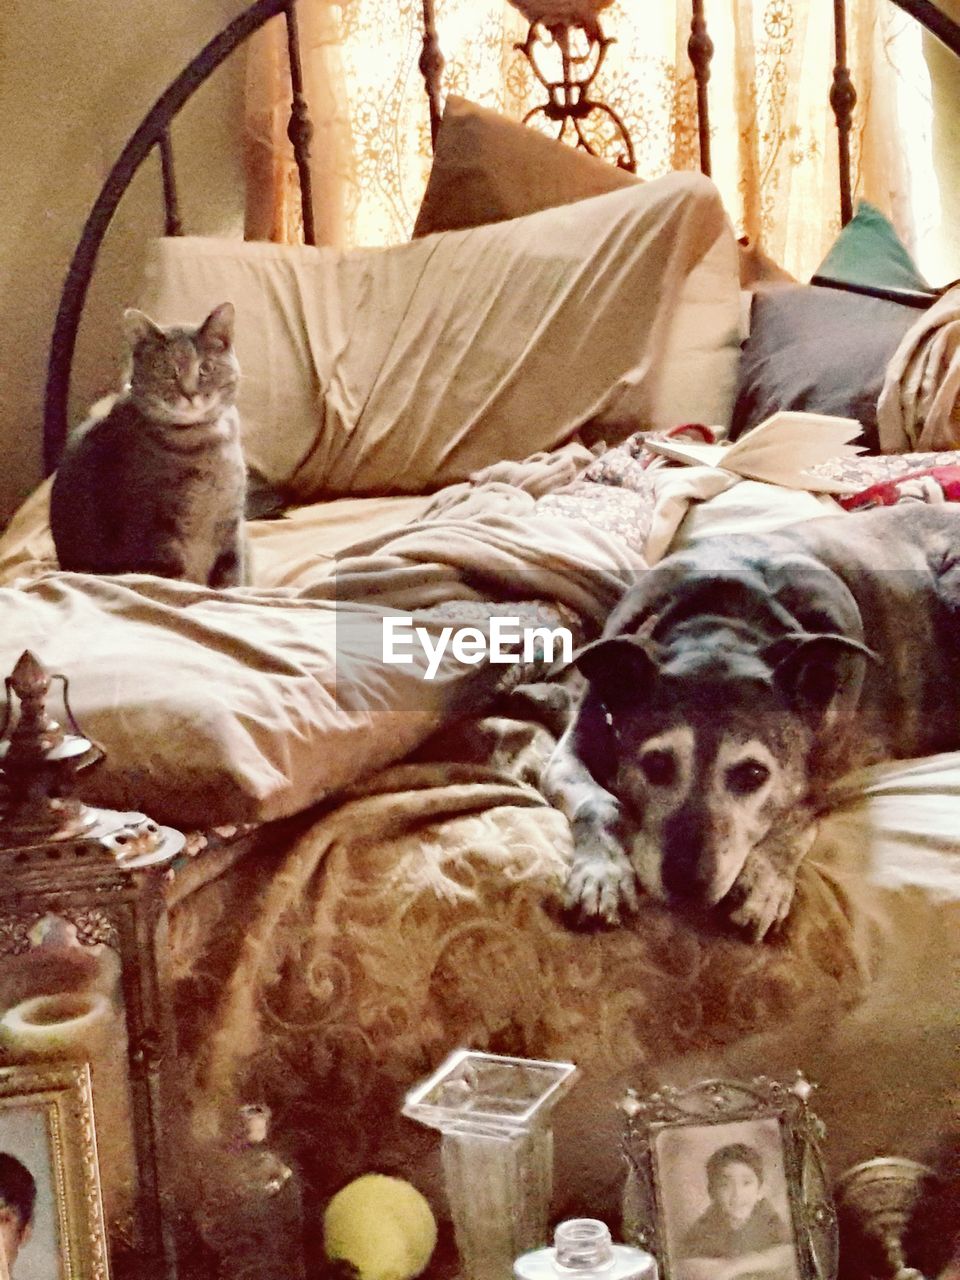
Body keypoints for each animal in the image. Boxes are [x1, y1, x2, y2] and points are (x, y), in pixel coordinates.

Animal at [50, 302, 248, 586]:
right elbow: (173, 579)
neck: (202, 442)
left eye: (206, 368)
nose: (190, 394)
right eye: (166, 370)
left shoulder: (231, 525)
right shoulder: (155, 530)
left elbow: (230, 580)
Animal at [545, 501, 960, 942]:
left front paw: (764, 879)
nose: (687, 886)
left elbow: (800, 807)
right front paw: (601, 873)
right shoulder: (571, 748)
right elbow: (597, 802)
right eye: (655, 764)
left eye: (754, 774)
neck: (727, 623)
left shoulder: (836, 759)